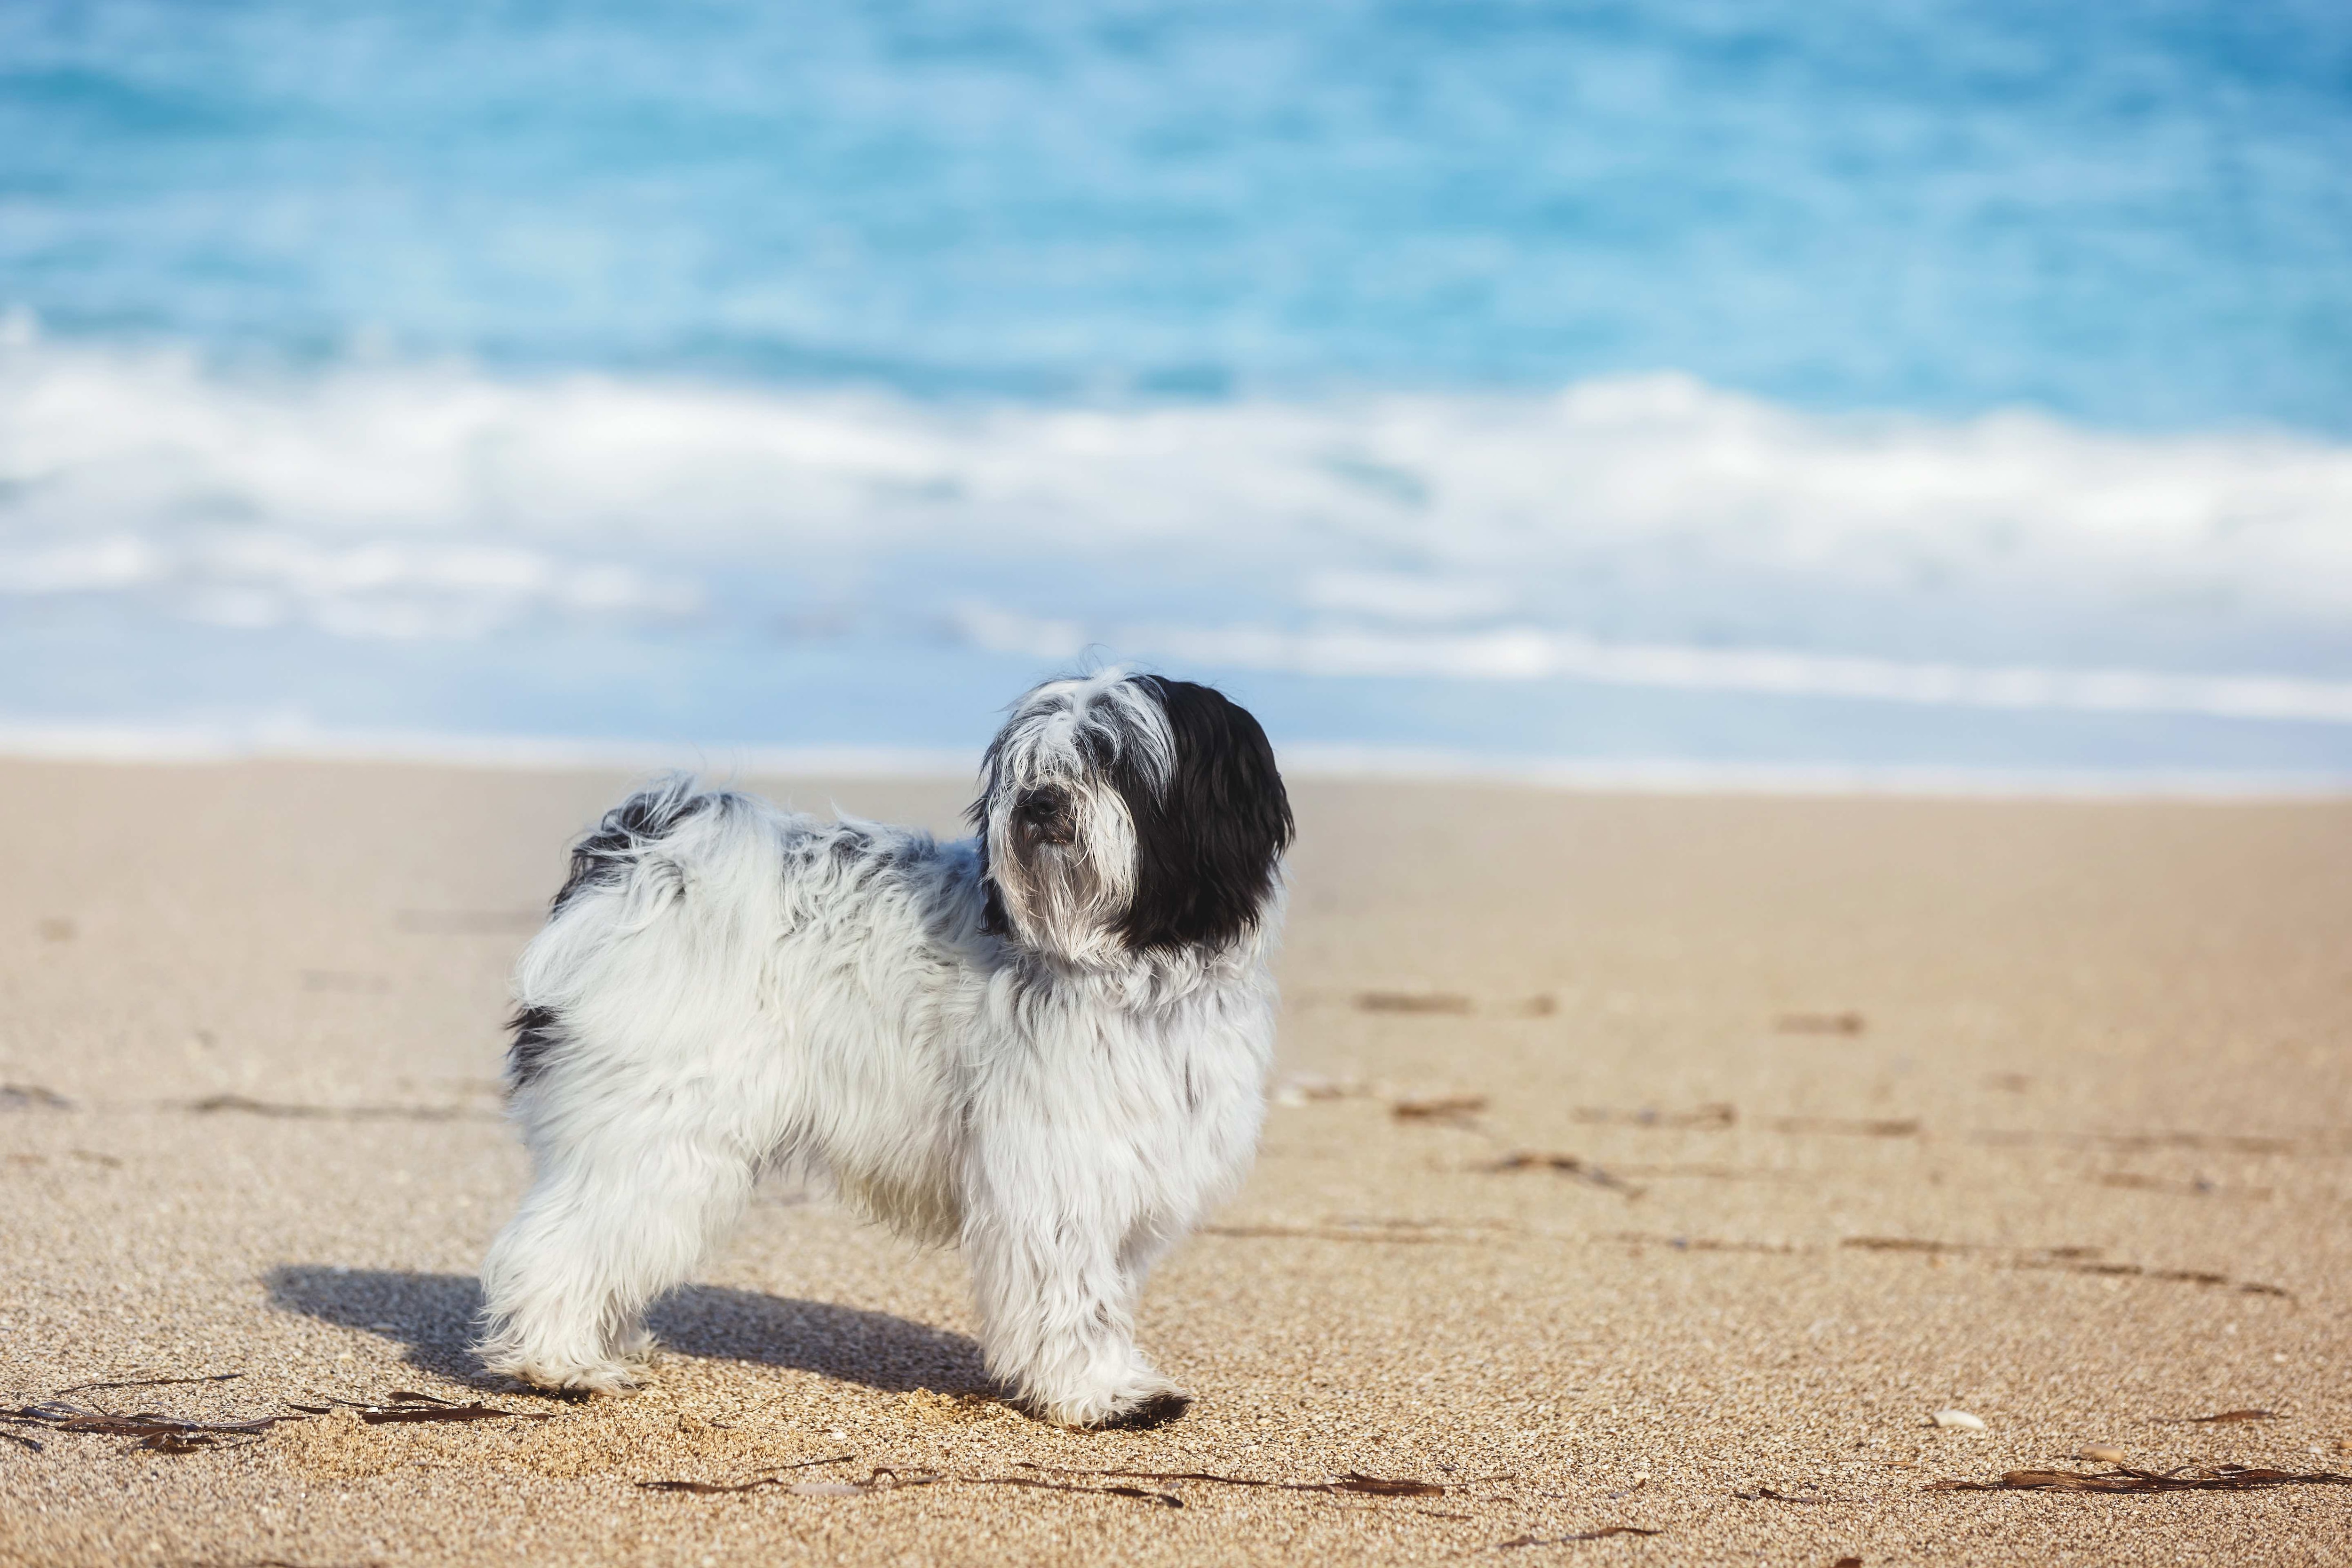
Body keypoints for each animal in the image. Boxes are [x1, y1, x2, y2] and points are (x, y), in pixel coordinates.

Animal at [473, 668, 1289, 1429]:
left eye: (1112, 757)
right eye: (1031, 765)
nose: (1040, 803)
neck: (1130, 969)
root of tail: (641, 861)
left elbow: (1105, 1294)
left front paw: (1114, 1379)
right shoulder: (1057, 1174)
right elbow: (1074, 1296)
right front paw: (1100, 1393)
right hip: (658, 1127)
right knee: (563, 1239)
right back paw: (561, 1363)